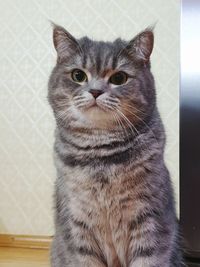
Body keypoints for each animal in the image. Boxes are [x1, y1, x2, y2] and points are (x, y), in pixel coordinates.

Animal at [47, 24, 184, 266]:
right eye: (78, 76)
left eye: (119, 78)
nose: (95, 91)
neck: (101, 152)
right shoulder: (76, 227)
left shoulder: (150, 222)